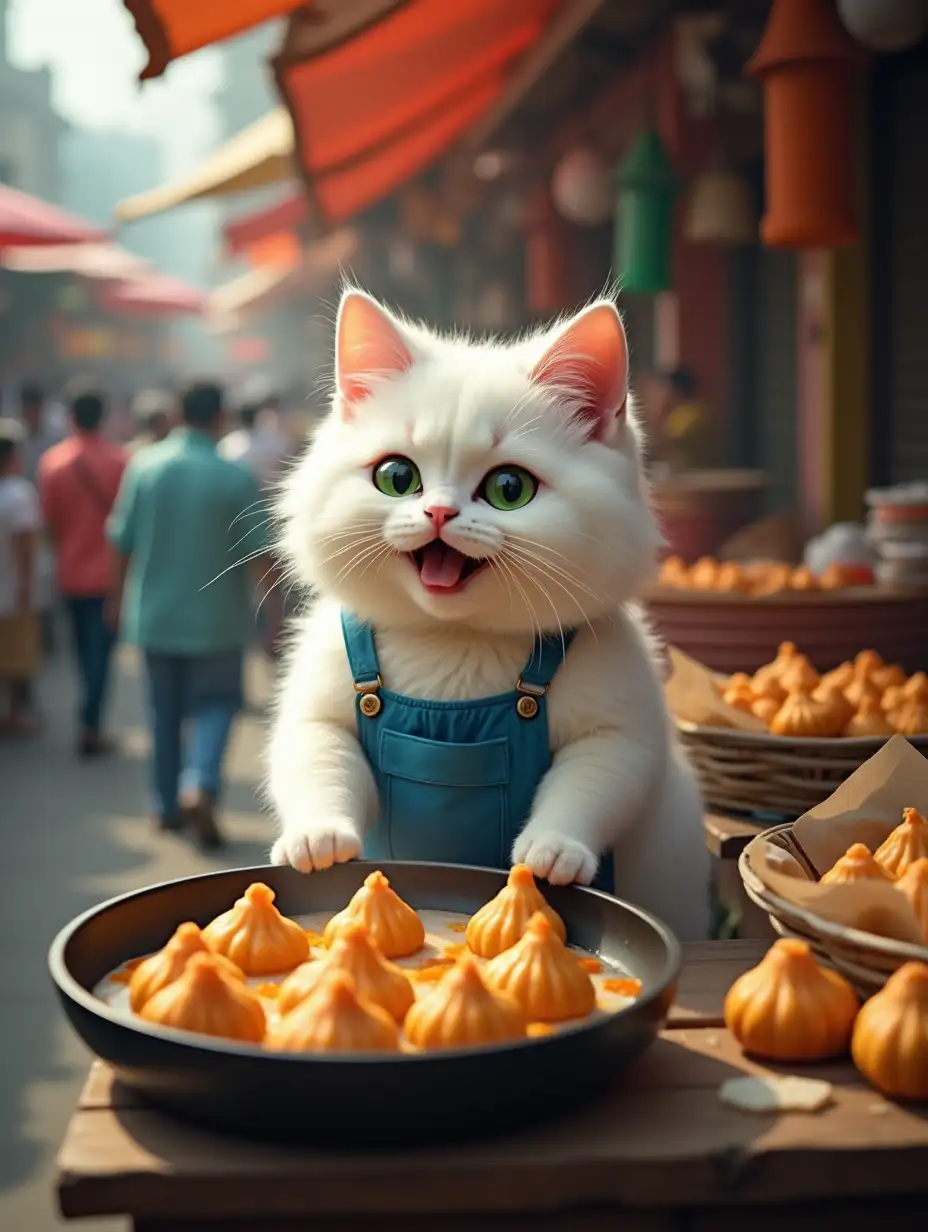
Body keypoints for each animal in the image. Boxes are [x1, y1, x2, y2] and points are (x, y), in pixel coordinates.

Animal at [267, 288, 709, 936]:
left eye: (509, 488)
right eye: (396, 477)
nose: (439, 513)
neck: (455, 642)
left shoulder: (620, 725)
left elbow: (593, 783)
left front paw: (553, 851)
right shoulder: (321, 701)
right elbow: (316, 759)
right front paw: (318, 837)